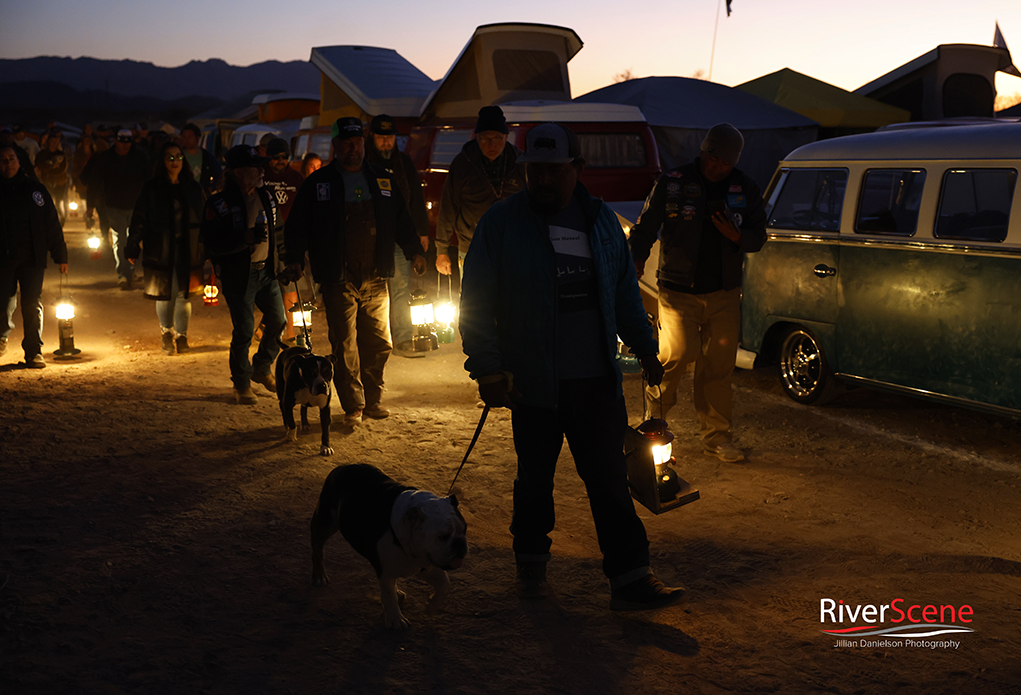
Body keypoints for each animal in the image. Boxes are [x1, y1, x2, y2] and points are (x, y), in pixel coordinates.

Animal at [310, 465, 469, 628]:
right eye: (442, 537)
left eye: (464, 530)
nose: (460, 543)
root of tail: (343, 466)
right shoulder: (387, 572)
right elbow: (389, 596)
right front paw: (396, 619)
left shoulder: (425, 565)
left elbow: (445, 584)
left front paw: (432, 607)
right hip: (326, 523)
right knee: (317, 549)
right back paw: (319, 575)